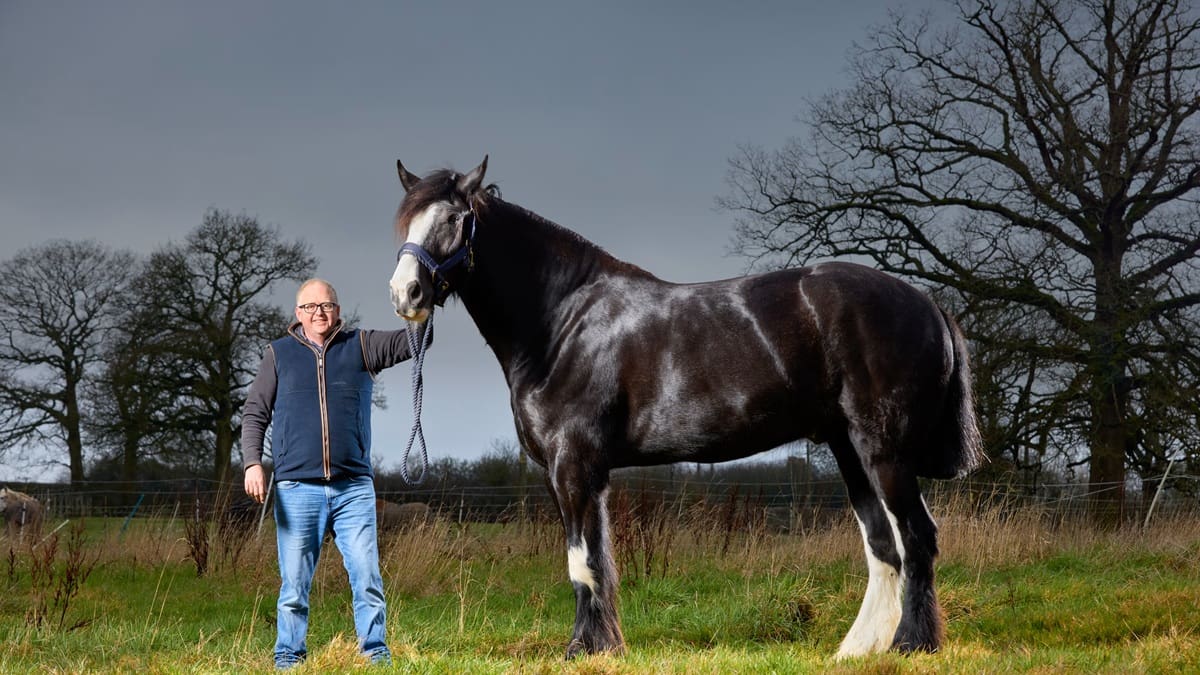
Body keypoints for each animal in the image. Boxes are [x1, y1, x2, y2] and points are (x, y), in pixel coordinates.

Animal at [387, 156, 984, 659]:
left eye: (453, 219)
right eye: (406, 223)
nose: (405, 294)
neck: (562, 322)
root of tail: (926, 301)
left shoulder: (572, 465)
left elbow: (581, 562)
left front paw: (581, 649)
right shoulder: (581, 474)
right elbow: (598, 559)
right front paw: (605, 646)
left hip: (884, 451)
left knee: (917, 538)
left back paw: (911, 644)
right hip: (849, 451)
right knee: (884, 547)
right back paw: (857, 650)